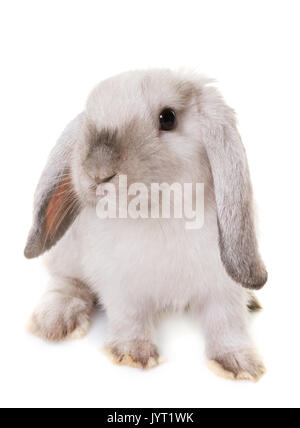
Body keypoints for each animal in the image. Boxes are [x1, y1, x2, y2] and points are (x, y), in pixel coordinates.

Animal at [24, 69, 268, 382]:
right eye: (90, 117)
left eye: (168, 118)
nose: (97, 172)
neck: (160, 213)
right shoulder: (120, 285)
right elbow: (130, 317)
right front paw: (134, 353)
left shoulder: (223, 288)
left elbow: (227, 323)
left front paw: (239, 365)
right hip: (68, 255)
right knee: (66, 282)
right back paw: (54, 321)